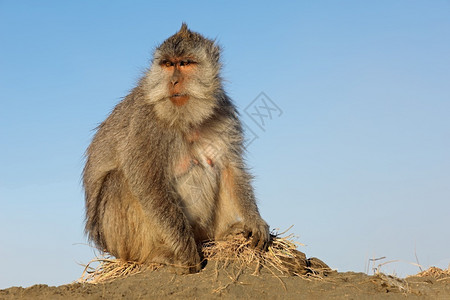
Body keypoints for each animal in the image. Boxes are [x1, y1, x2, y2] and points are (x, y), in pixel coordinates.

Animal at [82, 22, 268, 274]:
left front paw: (255, 220)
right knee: (117, 181)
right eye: (168, 64)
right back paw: (156, 254)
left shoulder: (224, 111)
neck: (186, 117)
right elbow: (147, 181)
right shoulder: (146, 122)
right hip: (120, 244)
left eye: (186, 63)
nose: (173, 82)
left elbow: (231, 167)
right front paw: (187, 252)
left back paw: (221, 234)